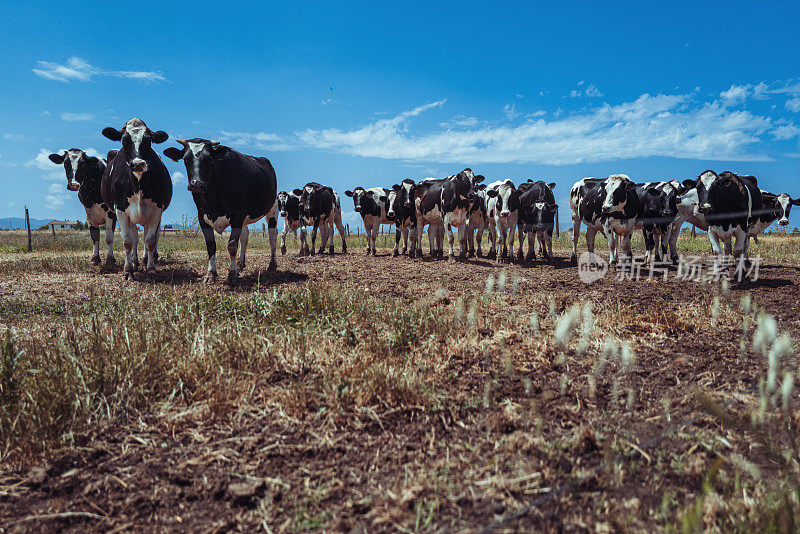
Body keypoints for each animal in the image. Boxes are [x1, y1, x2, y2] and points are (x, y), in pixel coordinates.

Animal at [101, 119, 171, 282]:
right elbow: (127, 241)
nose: (138, 163)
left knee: (144, 238)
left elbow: (150, 241)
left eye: (148, 140)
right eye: (124, 140)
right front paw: (128, 271)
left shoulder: (156, 210)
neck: (138, 185)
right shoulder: (120, 210)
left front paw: (151, 270)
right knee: (134, 238)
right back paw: (134, 262)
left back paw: (144, 261)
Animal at [162, 140, 278, 286]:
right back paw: (241, 263)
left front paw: (232, 274)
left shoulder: (237, 215)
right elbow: (211, 246)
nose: (196, 184)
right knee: (245, 236)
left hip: (272, 208)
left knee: (272, 235)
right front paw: (211, 274)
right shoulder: (202, 217)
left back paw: (272, 264)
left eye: (208, 159)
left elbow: (232, 245)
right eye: (186, 159)